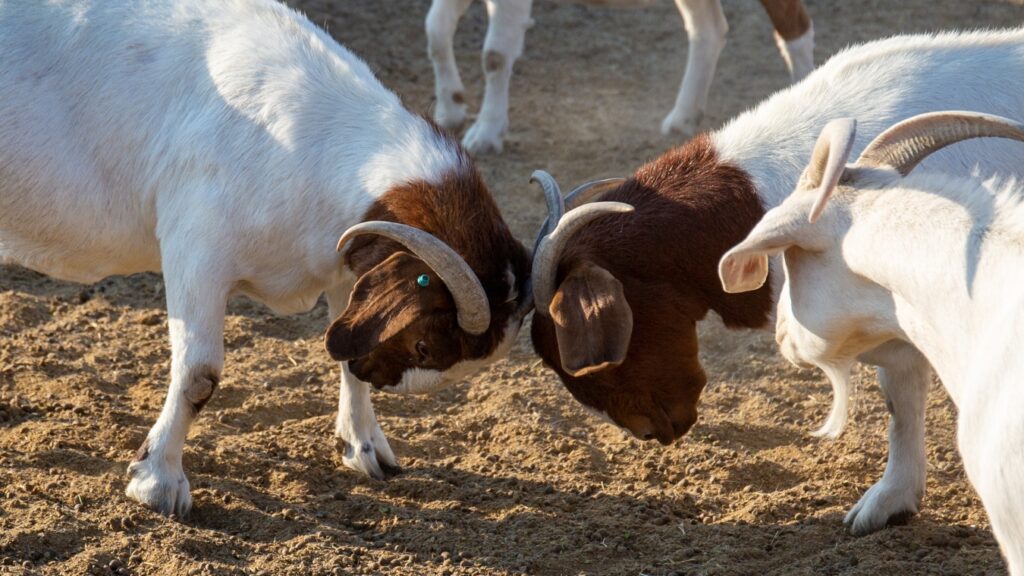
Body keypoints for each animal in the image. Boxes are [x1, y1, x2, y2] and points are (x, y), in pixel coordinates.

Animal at [0, 0, 528, 510]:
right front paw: (158, 482)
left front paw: (366, 449)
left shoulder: (346, 267)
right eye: (424, 346)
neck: (311, 141)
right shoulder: (196, 249)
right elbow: (199, 374)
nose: (376, 373)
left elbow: (343, 352)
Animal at [425, 0, 815, 153]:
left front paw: (487, 132)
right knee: (708, 29)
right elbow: (436, 30)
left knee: (796, 29)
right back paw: (683, 116)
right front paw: (450, 109)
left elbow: (494, 54)